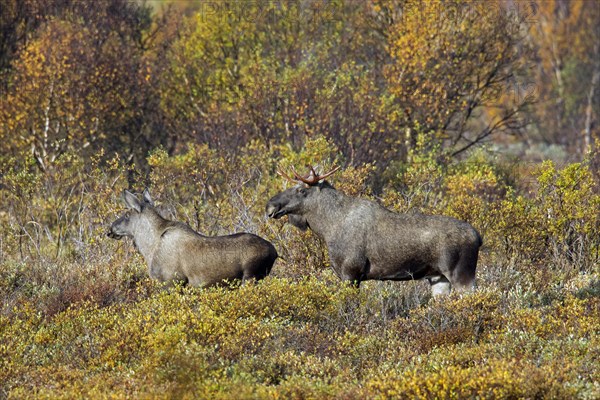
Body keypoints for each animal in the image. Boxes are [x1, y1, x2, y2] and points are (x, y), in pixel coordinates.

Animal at [109, 188, 278, 286]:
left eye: (127, 215)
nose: (110, 229)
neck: (149, 248)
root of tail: (275, 252)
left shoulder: (173, 281)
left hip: (250, 276)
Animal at [264, 164, 480, 296]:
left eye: (301, 190)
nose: (270, 206)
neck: (328, 228)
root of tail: (478, 237)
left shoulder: (350, 272)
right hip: (439, 278)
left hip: (461, 274)